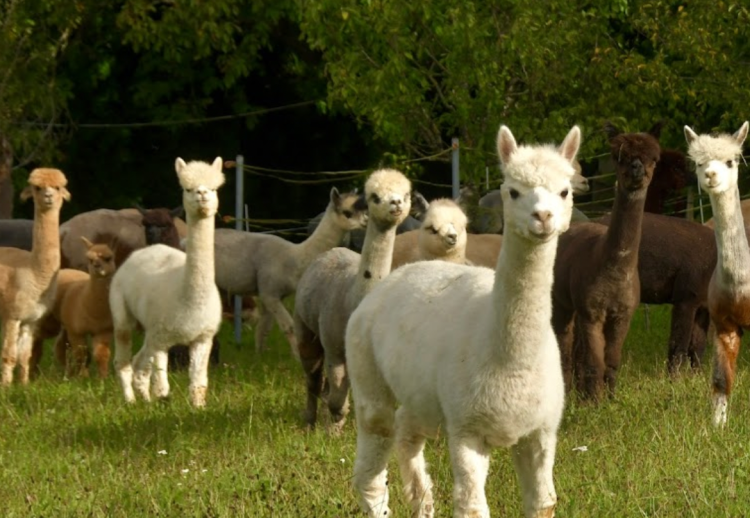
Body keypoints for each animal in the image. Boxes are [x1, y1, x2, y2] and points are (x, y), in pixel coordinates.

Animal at [0, 170, 70, 386]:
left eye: (57, 187)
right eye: (37, 187)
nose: (48, 197)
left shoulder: (30, 320)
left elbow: (24, 356)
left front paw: (24, 385)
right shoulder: (12, 315)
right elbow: (9, 355)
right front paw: (6, 388)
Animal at [110, 156, 225, 408]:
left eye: (214, 188)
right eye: (188, 188)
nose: (202, 193)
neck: (188, 300)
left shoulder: (203, 338)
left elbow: (198, 384)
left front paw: (198, 409)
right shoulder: (161, 337)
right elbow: (158, 383)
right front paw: (158, 406)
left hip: (153, 331)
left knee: (142, 363)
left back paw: (147, 398)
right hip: (122, 311)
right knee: (124, 361)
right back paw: (130, 401)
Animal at [213, 188, 368, 358]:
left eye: (363, 209)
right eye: (347, 212)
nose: (366, 222)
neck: (294, 258)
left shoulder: (269, 294)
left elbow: (263, 328)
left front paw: (259, 356)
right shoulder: (270, 293)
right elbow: (289, 326)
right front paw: (297, 357)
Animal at [346, 125, 580, 518]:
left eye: (565, 190)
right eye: (512, 190)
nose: (543, 217)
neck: (510, 363)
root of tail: (389, 281)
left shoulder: (540, 431)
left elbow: (543, 502)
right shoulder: (466, 429)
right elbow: (472, 506)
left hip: (422, 397)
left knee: (406, 432)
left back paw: (422, 503)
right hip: (366, 370)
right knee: (372, 467)